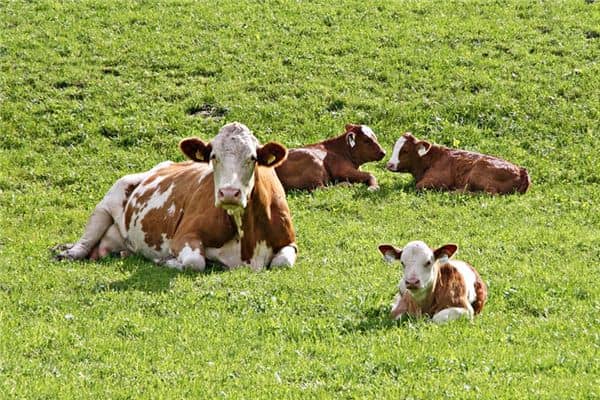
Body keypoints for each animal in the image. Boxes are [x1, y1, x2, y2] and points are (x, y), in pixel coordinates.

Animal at [56, 122, 298, 272]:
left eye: (252, 157)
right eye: (213, 156)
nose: (229, 193)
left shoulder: (290, 241)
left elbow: (283, 262)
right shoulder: (184, 235)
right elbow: (194, 262)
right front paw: (167, 262)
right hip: (108, 200)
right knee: (85, 242)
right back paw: (67, 253)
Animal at [384, 134, 528, 195]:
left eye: (405, 150)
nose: (389, 165)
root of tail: (521, 171)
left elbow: (418, 186)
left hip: (478, 172)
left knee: (490, 193)